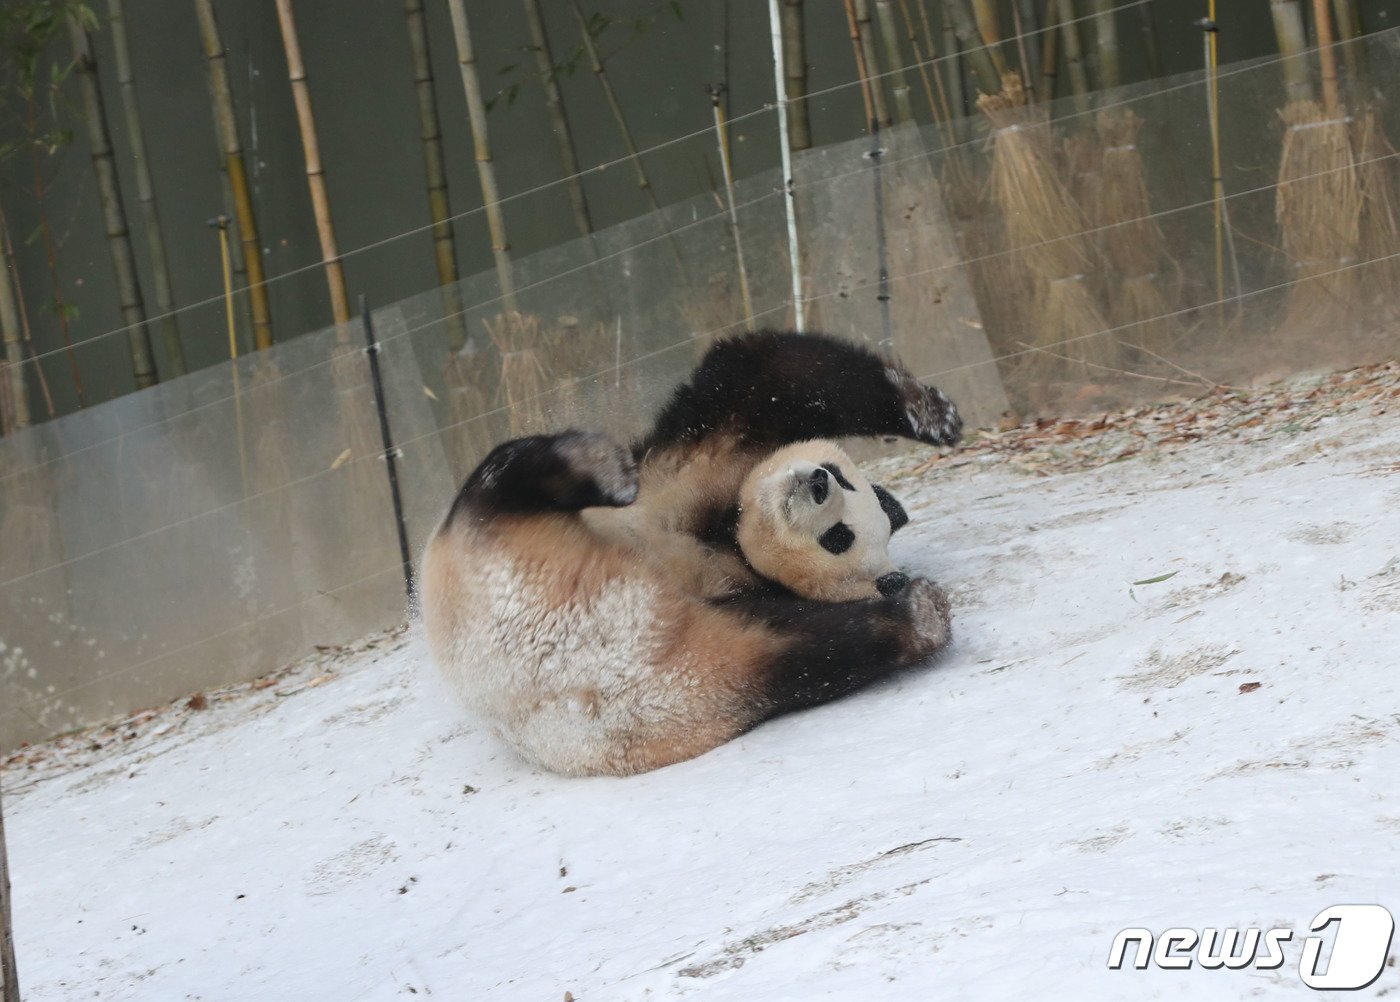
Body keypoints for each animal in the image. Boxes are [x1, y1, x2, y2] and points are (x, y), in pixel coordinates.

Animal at [414, 328, 963, 772]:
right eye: (843, 476)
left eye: (839, 536)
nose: (817, 482)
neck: (731, 542)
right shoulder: (680, 488)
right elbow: (766, 380)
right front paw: (931, 412)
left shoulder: (744, 598)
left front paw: (918, 606)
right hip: (476, 549)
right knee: (508, 472)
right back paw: (602, 464)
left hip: (689, 672)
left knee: (814, 652)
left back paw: (918, 613)